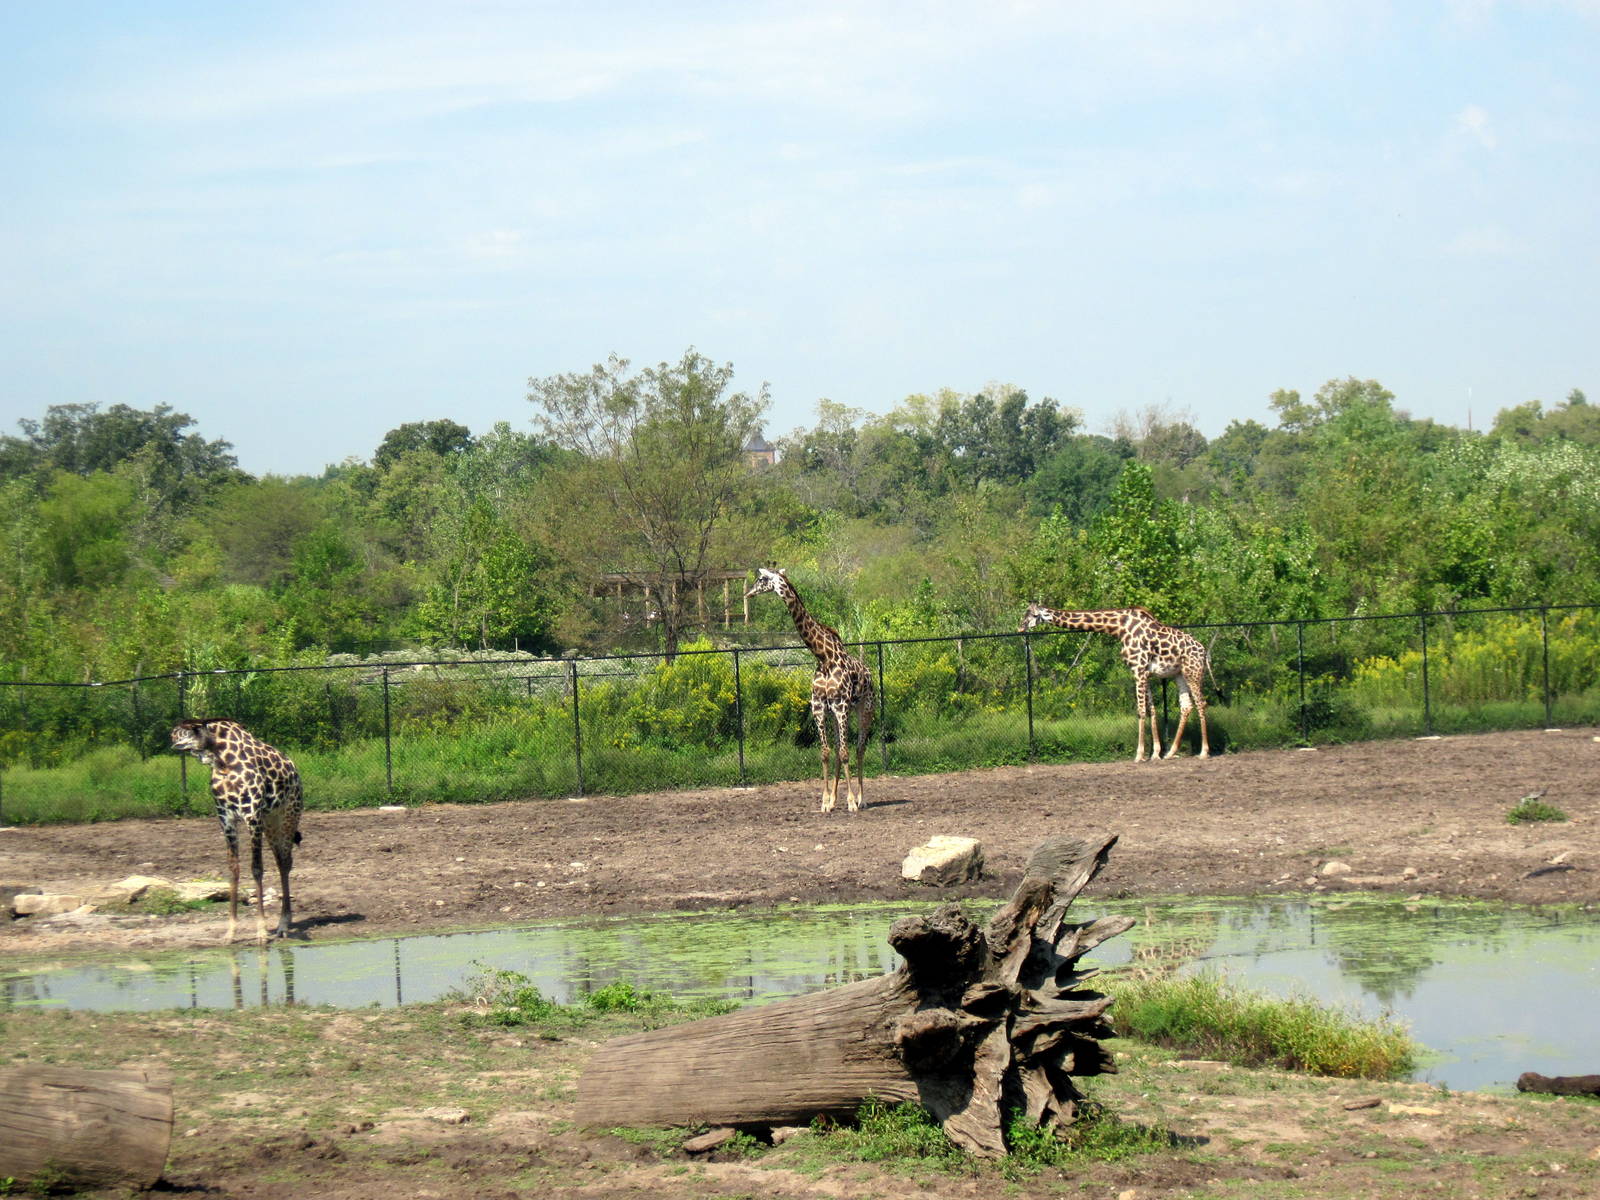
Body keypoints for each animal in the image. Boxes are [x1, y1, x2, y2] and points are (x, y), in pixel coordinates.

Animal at [170, 718, 305, 942]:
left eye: (186, 731)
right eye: (176, 733)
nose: (173, 742)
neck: (223, 761)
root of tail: (294, 770)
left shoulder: (253, 816)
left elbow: (256, 868)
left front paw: (261, 932)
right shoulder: (226, 819)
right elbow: (233, 869)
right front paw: (230, 932)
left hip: (287, 815)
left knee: (285, 862)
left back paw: (283, 924)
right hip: (270, 821)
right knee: (281, 861)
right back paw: (284, 922)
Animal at [746, 567, 875, 812]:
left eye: (762, 579)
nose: (748, 593)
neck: (824, 657)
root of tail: (870, 674)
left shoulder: (841, 706)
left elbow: (846, 752)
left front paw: (851, 802)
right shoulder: (820, 707)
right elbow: (825, 753)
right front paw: (825, 802)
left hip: (865, 708)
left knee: (860, 748)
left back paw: (861, 799)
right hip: (836, 714)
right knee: (839, 749)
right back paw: (835, 799)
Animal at [1019, 603, 1212, 762]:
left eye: (1032, 615)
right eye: (1025, 613)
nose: (1020, 628)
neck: (1119, 628)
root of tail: (1204, 652)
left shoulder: (1138, 670)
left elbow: (1141, 711)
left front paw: (1139, 755)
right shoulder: (1145, 672)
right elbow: (1152, 709)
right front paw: (1156, 753)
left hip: (1193, 672)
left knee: (1201, 703)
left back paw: (1204, 752)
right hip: (1180, 674)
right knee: (1186, 706)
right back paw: (1171, 753)